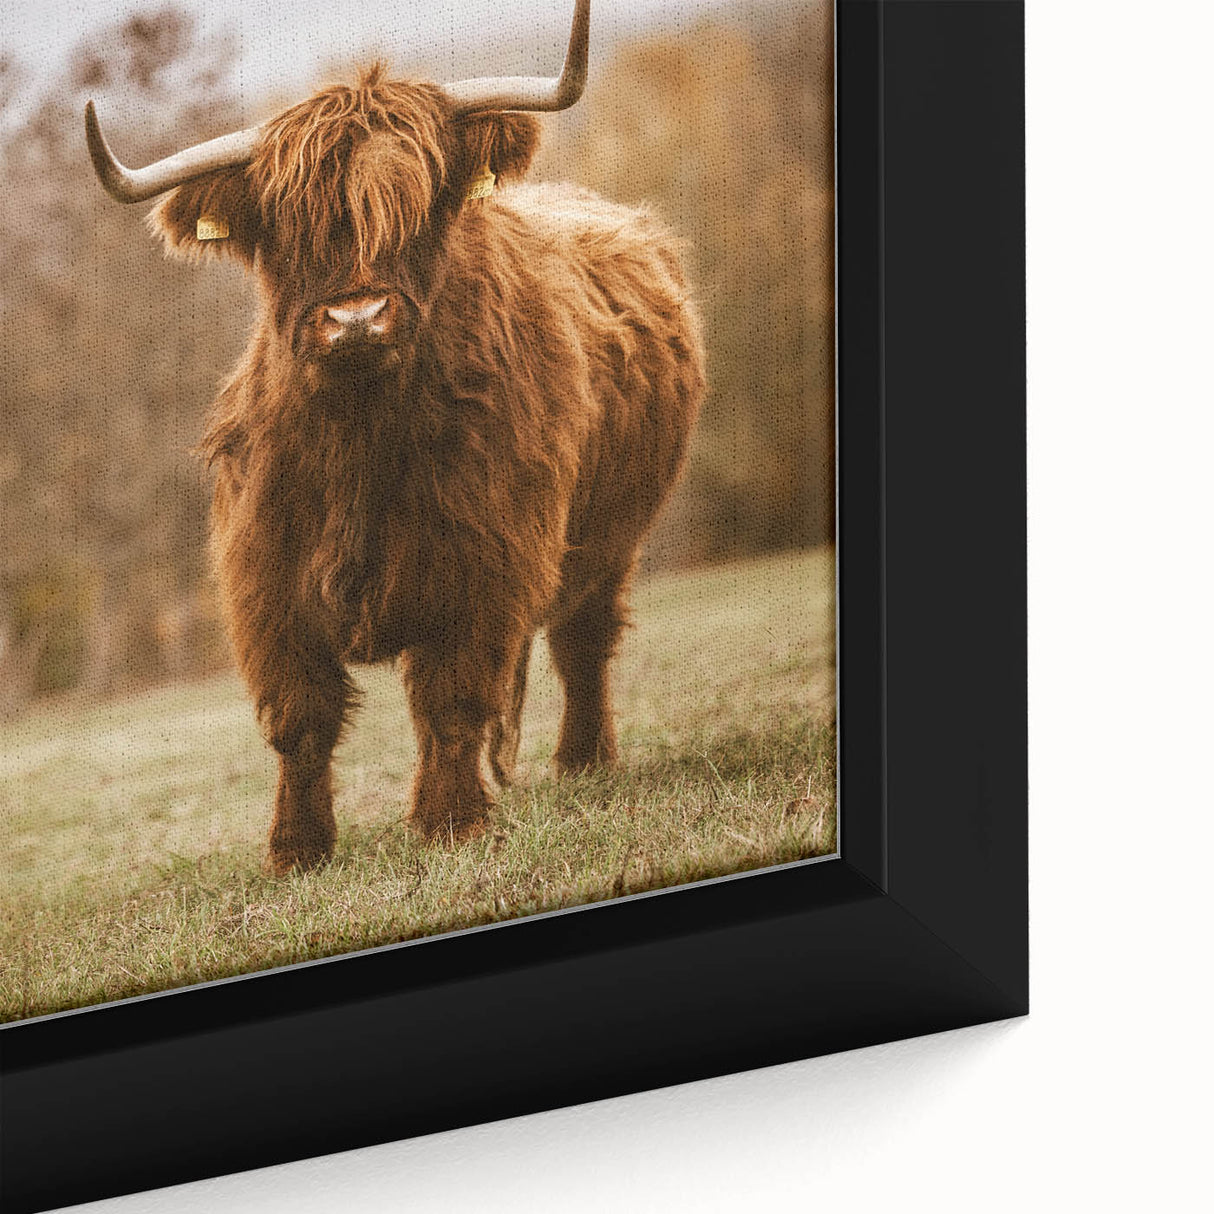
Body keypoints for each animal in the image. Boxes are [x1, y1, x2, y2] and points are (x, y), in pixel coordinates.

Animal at [85, 0, 705, 875]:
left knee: (582, 641)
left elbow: (453, 695)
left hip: (611, 537)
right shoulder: (265, 578)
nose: (357, 318)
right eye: (287, 225)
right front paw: (297, 852)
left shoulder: (485, 559)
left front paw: (450, 821)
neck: (359, 437)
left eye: (418, 206)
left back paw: (583, 763)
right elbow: (301, 718)